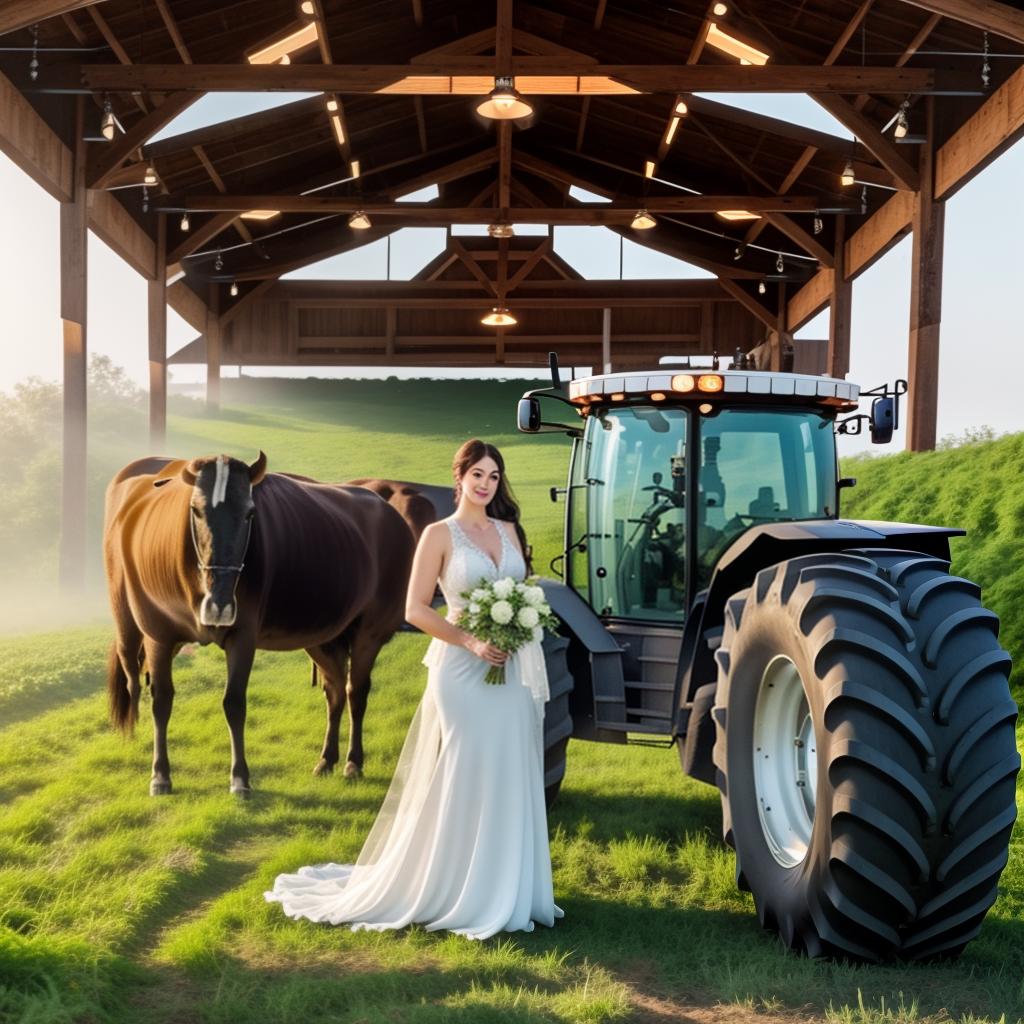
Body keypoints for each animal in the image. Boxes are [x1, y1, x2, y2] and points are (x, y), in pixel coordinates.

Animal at [99, 452, 411, 794]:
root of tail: (391, 515)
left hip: (370, 631)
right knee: (335, 691)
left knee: (356, 691)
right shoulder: (158, 634)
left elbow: (234, 703)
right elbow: (161, 701)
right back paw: (327, 759)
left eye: (250, 513)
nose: (221, 602)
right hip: (322, 637)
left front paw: (239, 777)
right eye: (195, 510)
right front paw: (160, 775)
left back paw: (353, 761)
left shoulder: (243, 636)